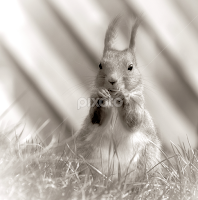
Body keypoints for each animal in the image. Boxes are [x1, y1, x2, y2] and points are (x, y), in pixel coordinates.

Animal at [75, 17, 162, 181]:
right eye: (100, 65)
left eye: (131, 67)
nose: (112, 80)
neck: (114, 101)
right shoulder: (94, 106)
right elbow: (95, 118)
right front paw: (101, 95)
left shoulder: (139, 104)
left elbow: (134, 121)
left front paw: (125, 96)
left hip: (146, 159)